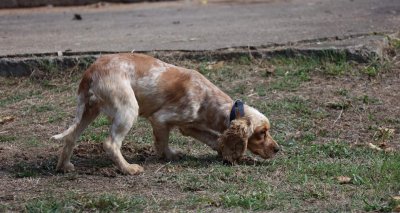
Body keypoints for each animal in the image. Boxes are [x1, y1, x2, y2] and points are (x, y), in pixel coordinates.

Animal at [51, 53, 280, 175]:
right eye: (261, 133)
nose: (277, 150)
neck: (208, 98)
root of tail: (90, 71)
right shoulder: (161, 119)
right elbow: (162, 142)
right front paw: (167, 156)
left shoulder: (189, 126)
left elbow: (215, 139)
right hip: (127, 109)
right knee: (110, 143)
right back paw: (129, 169)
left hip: (89, 109)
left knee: (71, 137)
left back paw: (64, 167)